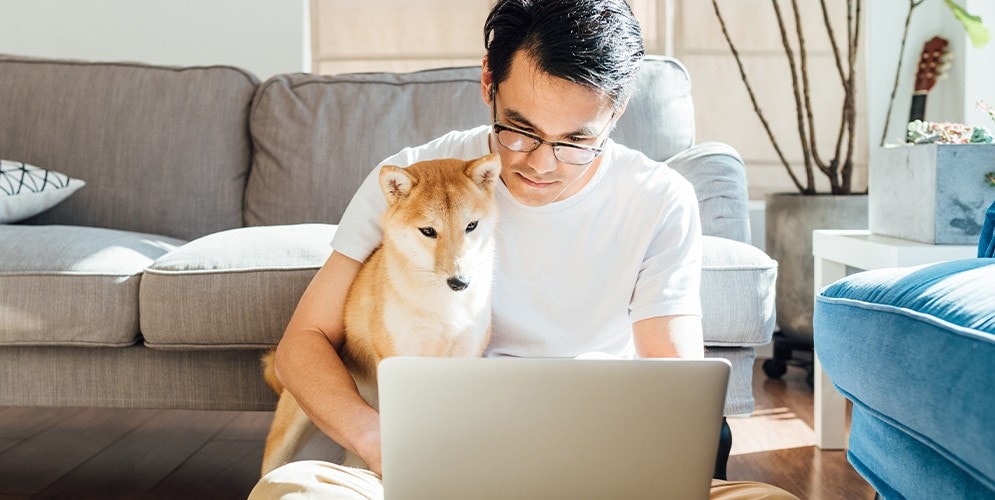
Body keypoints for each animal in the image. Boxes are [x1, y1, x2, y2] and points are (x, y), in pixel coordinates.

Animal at [260, 155, 502, 476]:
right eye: (428, 231)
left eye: (471, 225)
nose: (459, 282)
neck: (442, 307)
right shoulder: (399, 358)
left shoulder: (464, 358)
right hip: (291, 430)